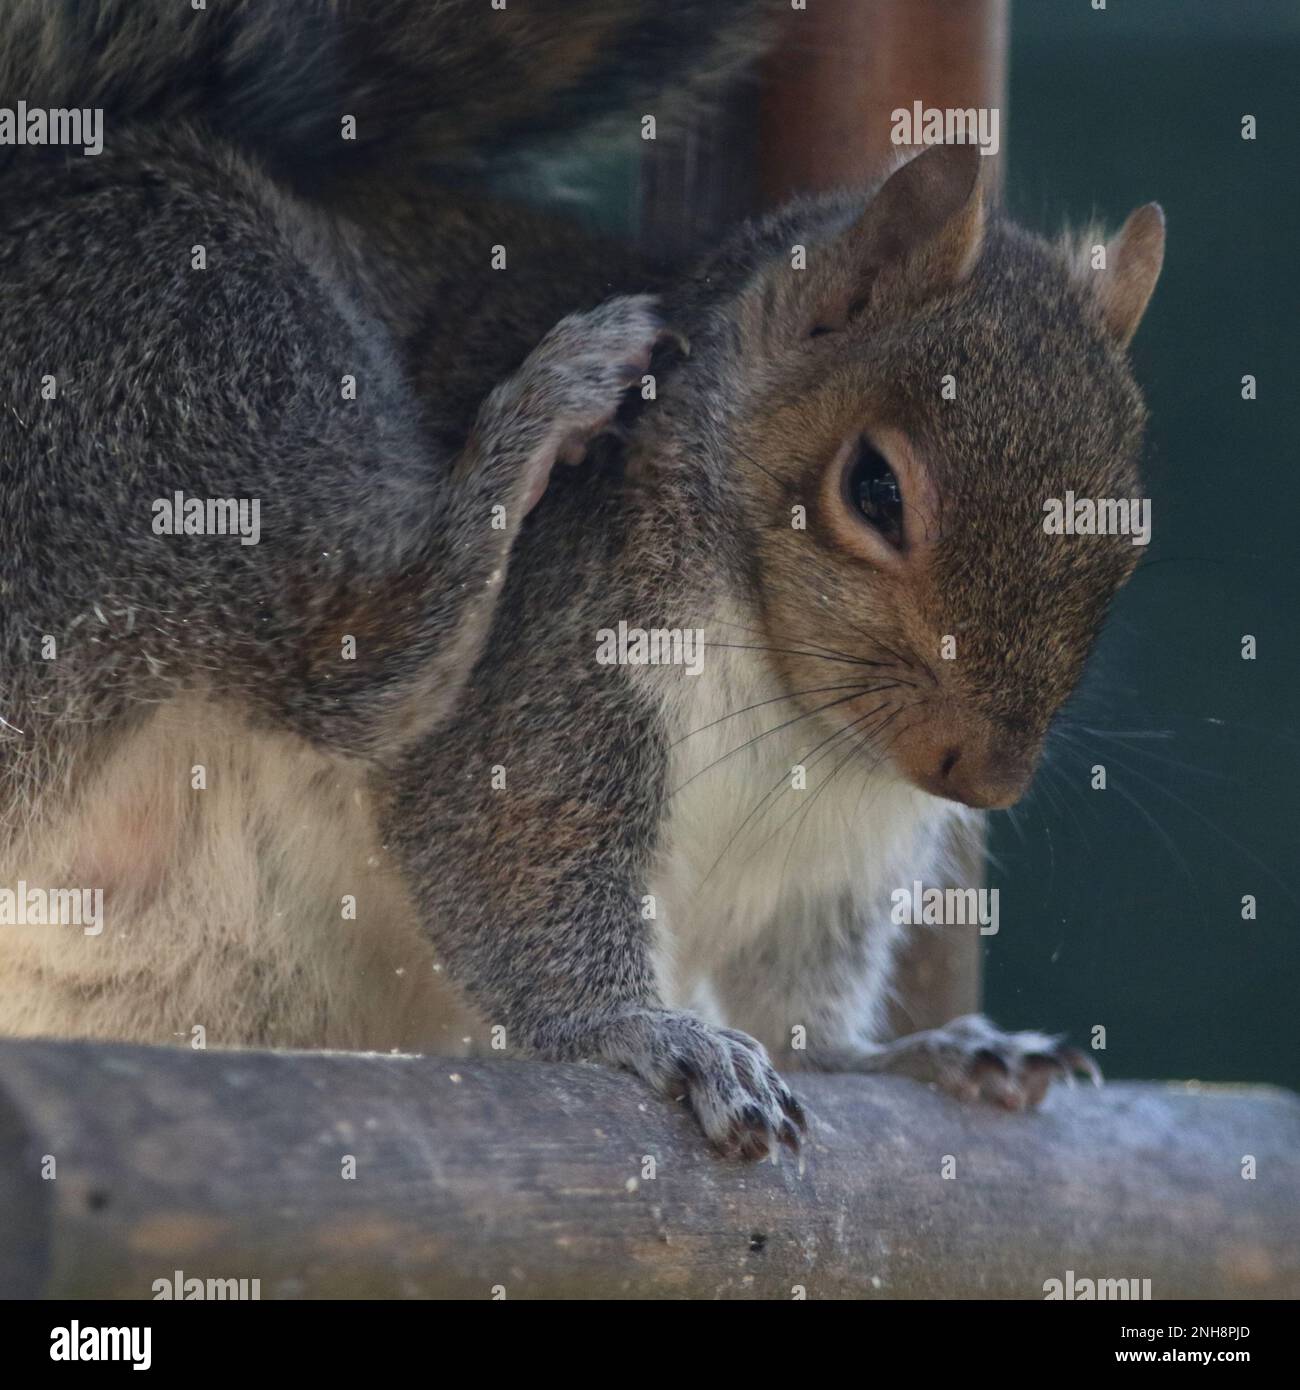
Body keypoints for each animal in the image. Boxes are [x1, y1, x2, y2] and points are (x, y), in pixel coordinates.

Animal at [0, 0, 1162, 1156]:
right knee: (348, 667)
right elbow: (504, 857)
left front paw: (920, 1052)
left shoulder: (826, 873)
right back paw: (533, 421)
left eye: (1131, 531)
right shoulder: (559, 653)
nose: (984, 777)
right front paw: (646, 1032)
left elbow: (807, 1008)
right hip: (188, 340)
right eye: (874, 490)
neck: (794, 717)